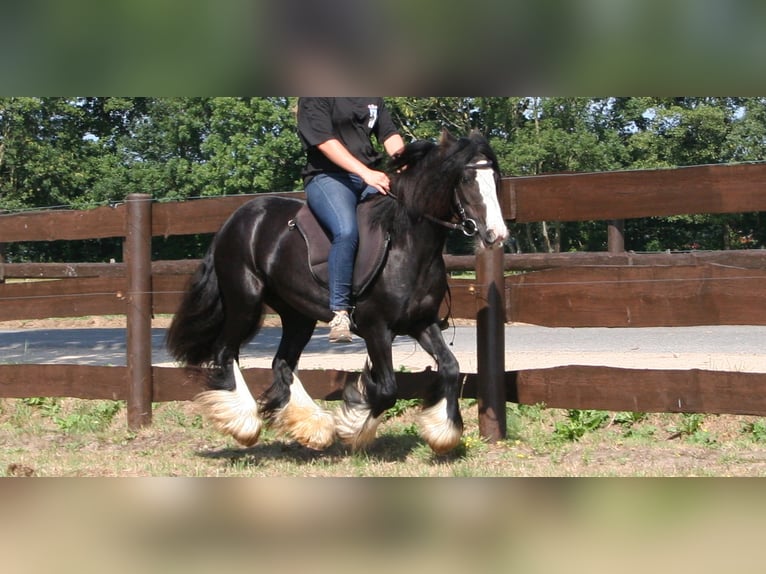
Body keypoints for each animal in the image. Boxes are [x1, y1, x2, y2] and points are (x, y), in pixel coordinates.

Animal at [166, 130, 510, 454]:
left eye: (494, 179)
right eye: (465, 179)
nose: (497, 234)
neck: (405, 245)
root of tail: (235, 220)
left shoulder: (420, 323)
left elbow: (451, 367)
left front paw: (442, 434)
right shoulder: (376, 328)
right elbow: (387, 389)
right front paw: (353, 427)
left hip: (297, 315)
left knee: (281, 363)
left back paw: (313, 428)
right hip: (244, 302)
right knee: (225, 351)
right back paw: (244, 425)